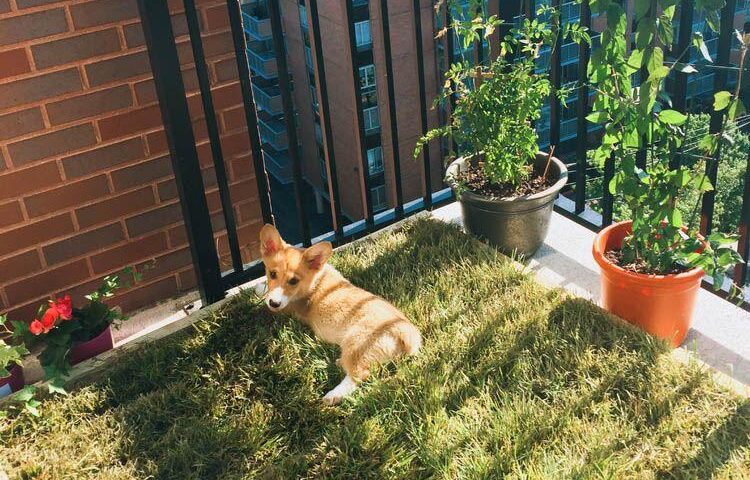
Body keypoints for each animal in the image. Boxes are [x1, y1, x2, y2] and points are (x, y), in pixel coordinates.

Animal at [260, 223, 424, 404]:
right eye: (272, 274)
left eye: (293, 281)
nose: (274, 303)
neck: (316, 280)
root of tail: (407, 333)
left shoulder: (289, 307)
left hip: (356, 342)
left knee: (359, 375)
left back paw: (333, 395)